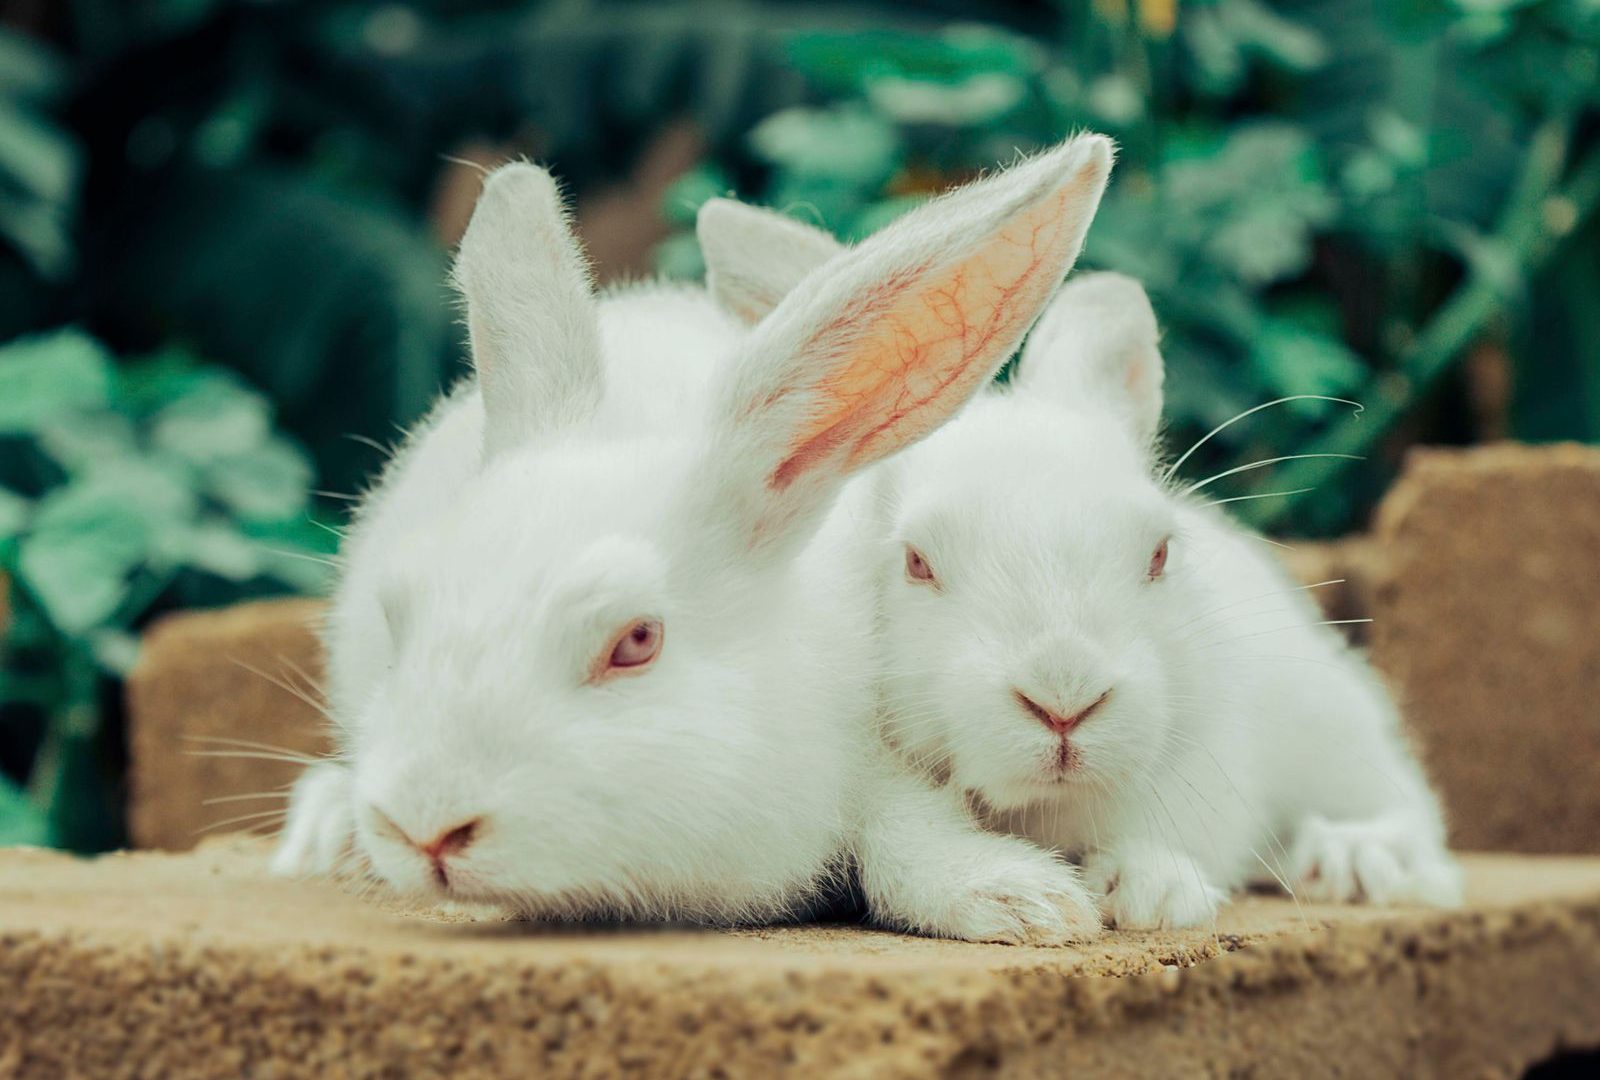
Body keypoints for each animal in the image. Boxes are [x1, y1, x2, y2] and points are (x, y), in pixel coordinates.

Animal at [697, 219, 1463, 930]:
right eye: (916, 562)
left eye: (1159, 553)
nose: (1064, 700)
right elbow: (903, 837)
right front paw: (1023, 903)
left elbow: (1172, 820)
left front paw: (1151, 892)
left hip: (1336, 723)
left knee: (1411, 809)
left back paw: (1355, 862)